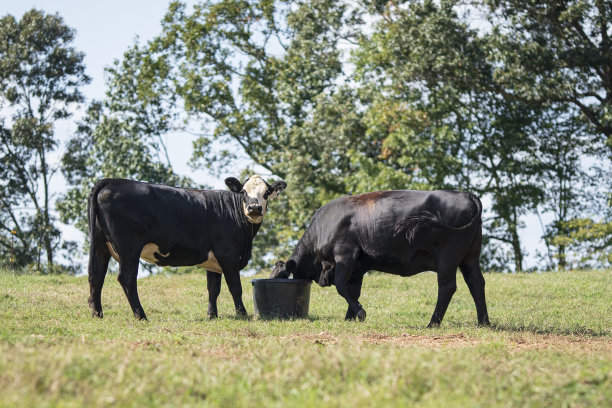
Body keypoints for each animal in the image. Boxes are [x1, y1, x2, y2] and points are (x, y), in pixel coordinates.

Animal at [86, 174, 286, 320]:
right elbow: (235, 286)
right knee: (126, 278)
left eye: (266, 192)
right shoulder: (228, 255)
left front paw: (212, 315)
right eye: (243, 192)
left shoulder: (214, 259)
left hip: (101, 245)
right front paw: (243, 314)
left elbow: (213, 288)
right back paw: (141, 316)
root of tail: (111, 181)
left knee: (96, 275)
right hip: (129, 248)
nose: (254, 208)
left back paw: (97, 314)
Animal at [270, 190, 490, 326]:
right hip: (470, 257)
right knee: (476, 283)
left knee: (447, 287)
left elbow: (341, 286)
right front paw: (349, 318)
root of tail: (465, 194)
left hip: (447, 257)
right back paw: (483, 322)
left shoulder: (345, 255)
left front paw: (360, 313)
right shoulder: (357, 267)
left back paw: (432, 323)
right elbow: (353, 290)